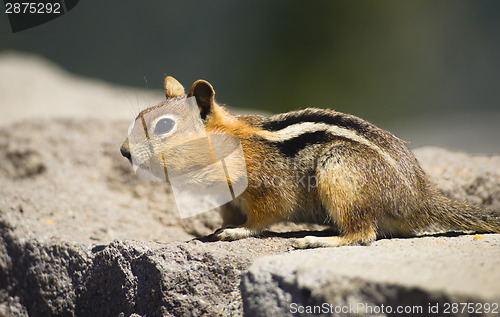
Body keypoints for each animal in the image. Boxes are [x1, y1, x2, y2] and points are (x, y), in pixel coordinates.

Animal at [121, 76, 500, 247]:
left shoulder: (264, 187)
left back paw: (318, 239)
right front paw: (212, 230)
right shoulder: (229, 200)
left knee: (363, 234)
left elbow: (263, 216)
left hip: (339, 169)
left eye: (163, 126)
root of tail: (420, 198)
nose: (124, 151)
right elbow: (228, 215)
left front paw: (238, 232)